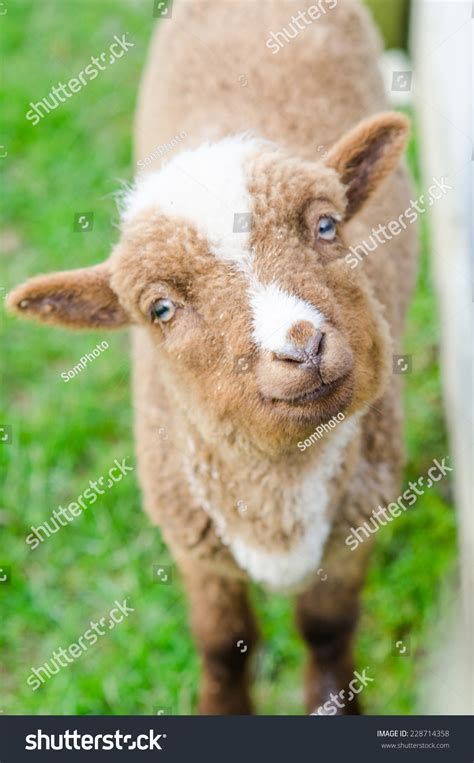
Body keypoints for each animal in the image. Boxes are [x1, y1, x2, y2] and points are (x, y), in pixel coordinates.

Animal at [6, 0, 414, 716]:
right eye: (161, 309)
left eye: (327, 225)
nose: (301, 344)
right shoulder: (196, 544)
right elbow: (224, 642)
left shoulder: (354, 526)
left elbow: (327, 627)